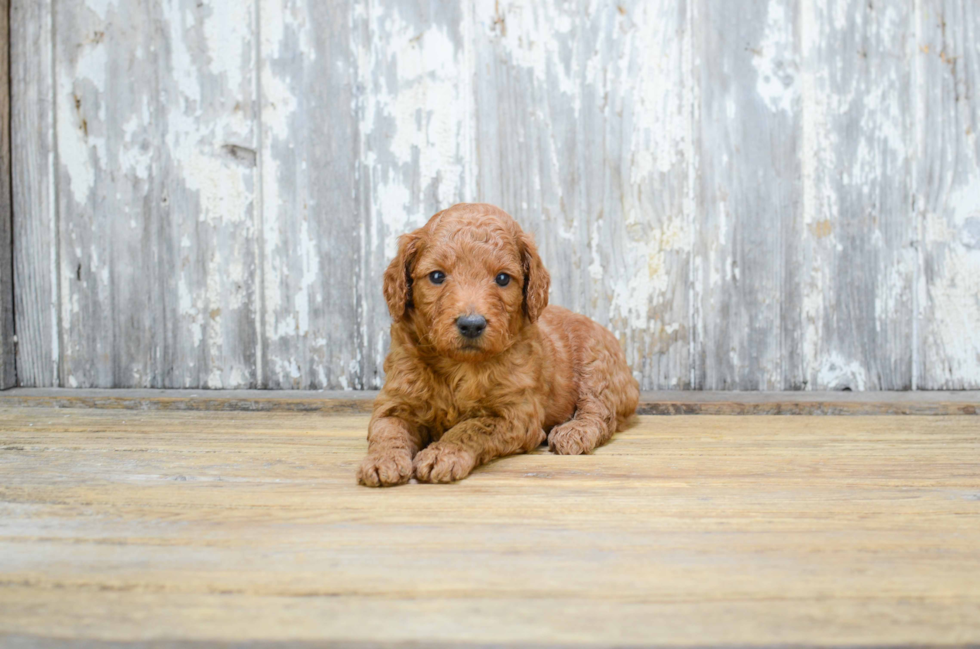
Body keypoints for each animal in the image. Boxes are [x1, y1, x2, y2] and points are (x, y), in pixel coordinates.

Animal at [356, 202, 640, 486]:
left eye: (503, 279)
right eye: (436, 276)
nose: (471, 324)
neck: (460, 367)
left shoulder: (516, 414)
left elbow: (471, 428)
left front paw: (443, 454)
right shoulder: (396, 401)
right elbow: (386, 430)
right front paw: (383, 461)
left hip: (596, 367)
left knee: (599, 412)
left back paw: (574, 432)